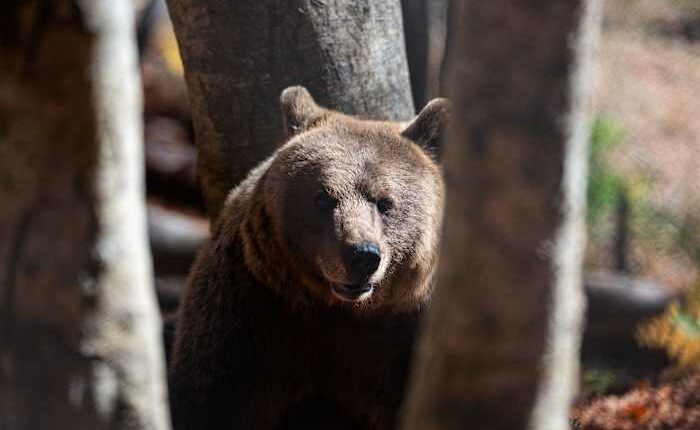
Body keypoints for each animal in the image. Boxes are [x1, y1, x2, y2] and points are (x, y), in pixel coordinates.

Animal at [169, 86, 450, 430]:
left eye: (385, 202)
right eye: (323, 197)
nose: (361, 255)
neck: (340, 310)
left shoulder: (405, 333)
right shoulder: (248, 315)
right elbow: (211, 398)